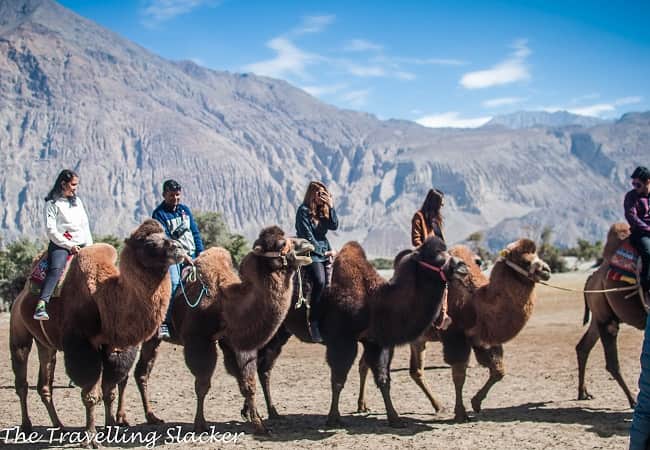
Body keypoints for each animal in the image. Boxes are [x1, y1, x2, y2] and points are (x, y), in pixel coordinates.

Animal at [9, 220, 185, 444]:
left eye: (166, 235)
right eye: (149, 243)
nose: (178, 247)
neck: (104, 298)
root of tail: (22, 294)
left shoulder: (114, 347)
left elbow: (109, 391)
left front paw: (111, 428)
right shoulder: (83, 346)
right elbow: (90, 394)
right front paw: (91, 437)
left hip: (46, 345)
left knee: (44, 385)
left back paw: (59, 427)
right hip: (19, 333)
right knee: (22, 381)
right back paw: (26, 426)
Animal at [132, 227, 312, 434]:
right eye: (281, 243)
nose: (307, 244)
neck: (223, 302)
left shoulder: (232, 341)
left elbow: (247, 383)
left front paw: (258, 424)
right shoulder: (199, 340)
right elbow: (203, 383)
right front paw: (200, 424)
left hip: (153, 339)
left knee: (141, 372)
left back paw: (151, 417)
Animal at [228, 237, 466, 428]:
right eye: (435, 255)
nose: (462, 266)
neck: (374, 299)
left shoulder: (375, 342)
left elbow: (383, 379)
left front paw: (395, 418)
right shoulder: (342, 340)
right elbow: (338, 379)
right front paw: (333, 418)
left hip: (280, 332)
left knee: (264, 367)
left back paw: (269, 412)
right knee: (255, 363)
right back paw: (256, 412)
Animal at [356, 239, 548, 422]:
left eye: (536, 254)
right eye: (524, 260)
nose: (546, 270)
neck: (476, 302)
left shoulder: (481, 339)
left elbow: (498, 371)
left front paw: (476, 403)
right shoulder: (455, 337)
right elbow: (459, 375)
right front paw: (461, 413)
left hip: (417, 340)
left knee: (410, 371)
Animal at [576, 221, 644, 408]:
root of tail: (591, 278)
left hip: (598, 317)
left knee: (583, 347)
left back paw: (583, 393)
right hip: (605, 318)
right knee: (612, 363)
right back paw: (632, 400)